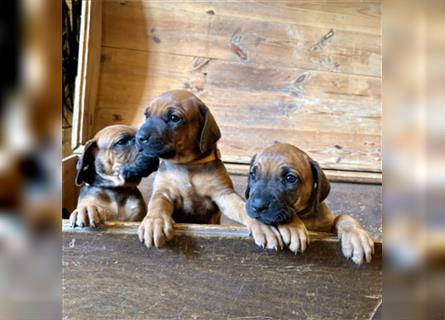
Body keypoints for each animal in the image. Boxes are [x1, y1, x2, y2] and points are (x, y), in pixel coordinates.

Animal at [134, 90, 282, 250]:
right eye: (146, 115)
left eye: (174, 118)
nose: (139, 137)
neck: (188, 164)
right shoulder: (163, 191)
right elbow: (157, 203)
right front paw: (155, 221)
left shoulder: (224, 195)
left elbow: (242, 206)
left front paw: (262, 226)